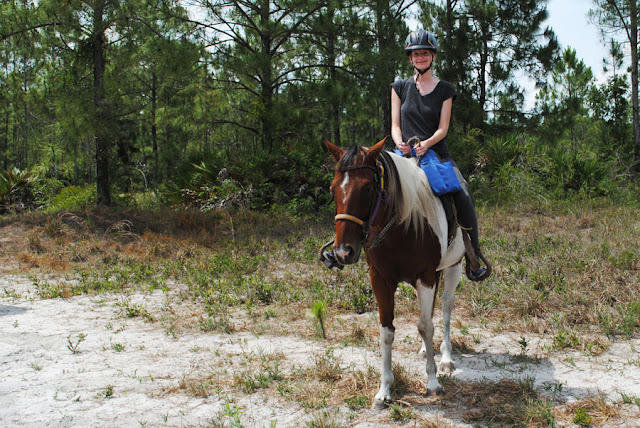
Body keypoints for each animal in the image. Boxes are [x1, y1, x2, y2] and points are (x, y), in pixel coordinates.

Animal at [324, 137, 464, 408]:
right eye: (333, 188)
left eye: (368, 188)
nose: (343, 252)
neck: (402, 227)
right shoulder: (381, 279)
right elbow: (387, 331)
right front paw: (384, 390)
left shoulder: (426, 277)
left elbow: (426, 326)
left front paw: (433, 382)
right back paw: (426, 350)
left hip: (454, 266)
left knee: (445, 307)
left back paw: (445, 358)